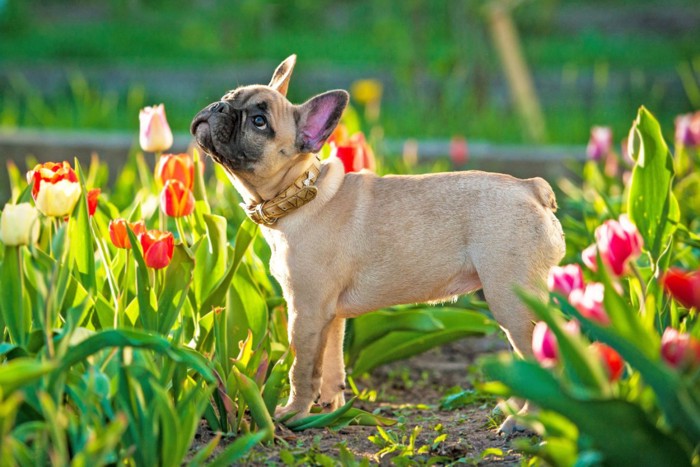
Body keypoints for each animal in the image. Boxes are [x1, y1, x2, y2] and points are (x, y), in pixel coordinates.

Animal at [191, 55, 568, 436]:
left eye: (259, 122)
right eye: (229, 96)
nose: (219, 106)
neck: (298, 192)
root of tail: (530, 187)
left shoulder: (307, 310)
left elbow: (303, 368)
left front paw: (293, 414)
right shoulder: (330, 316)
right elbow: (332, 365)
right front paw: (330, 410)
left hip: (512, 301)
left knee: (539, 358)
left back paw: (524, 420)